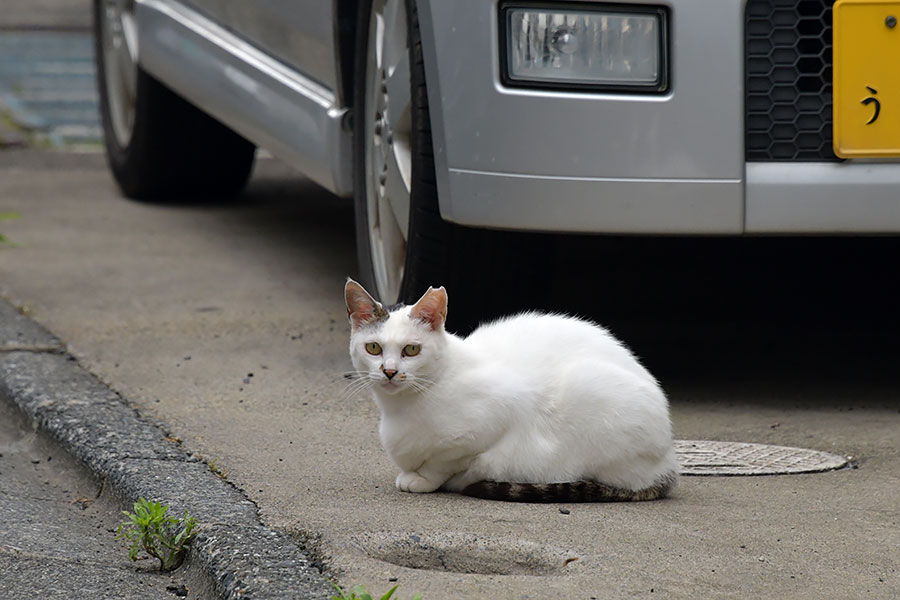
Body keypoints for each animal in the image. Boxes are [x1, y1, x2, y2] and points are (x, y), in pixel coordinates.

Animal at [342, 280, 676, 502]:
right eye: (373, 348)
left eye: (411, 349)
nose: (389, 371)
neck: (402, 408)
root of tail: (668, 463)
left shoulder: (491, 419)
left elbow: (445, 461)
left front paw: (423, 478)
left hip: (590, 389)